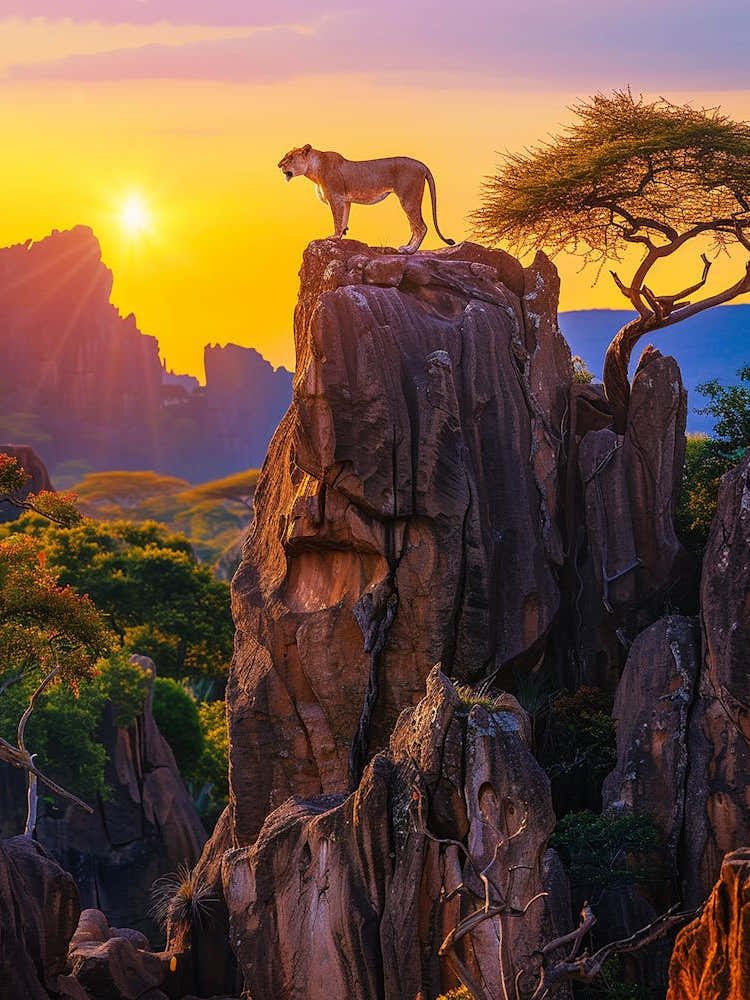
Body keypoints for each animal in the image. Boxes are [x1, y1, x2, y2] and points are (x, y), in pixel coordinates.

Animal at [277, 144, 456, 254]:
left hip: (408, 198)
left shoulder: (335, 197)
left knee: (420, 226)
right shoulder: (345, 200)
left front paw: (333, 237)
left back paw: (409, 250)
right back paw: (407, 247)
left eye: (290, 157)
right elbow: (344, 219)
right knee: (415, 227)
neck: (314, 170)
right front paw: (341, 236)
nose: (278, 165)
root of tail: (421, 164)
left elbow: (337, 219)